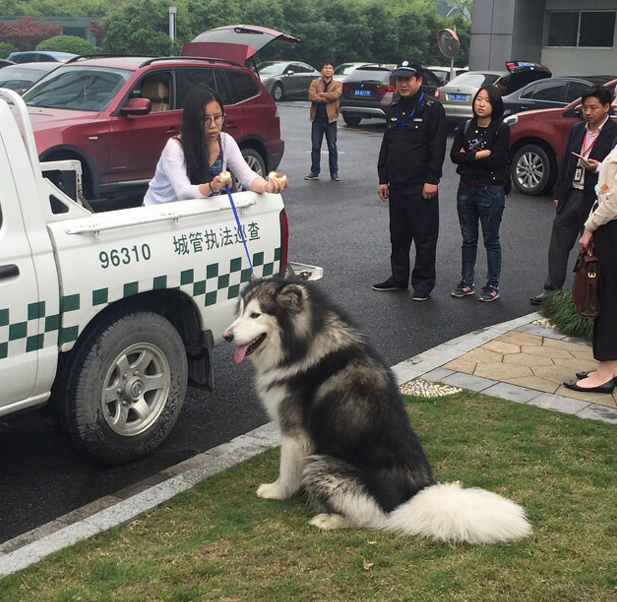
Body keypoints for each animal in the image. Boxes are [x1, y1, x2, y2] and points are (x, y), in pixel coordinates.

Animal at [224, 278, 532, 540]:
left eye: (255, 315)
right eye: (240, 311)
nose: (227, 336)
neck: (304, 343)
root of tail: (410, 498)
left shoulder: (295, 432)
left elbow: (287, 469)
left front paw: (276, 491)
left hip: (322, 464)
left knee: (373, 518)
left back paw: (329, 519)